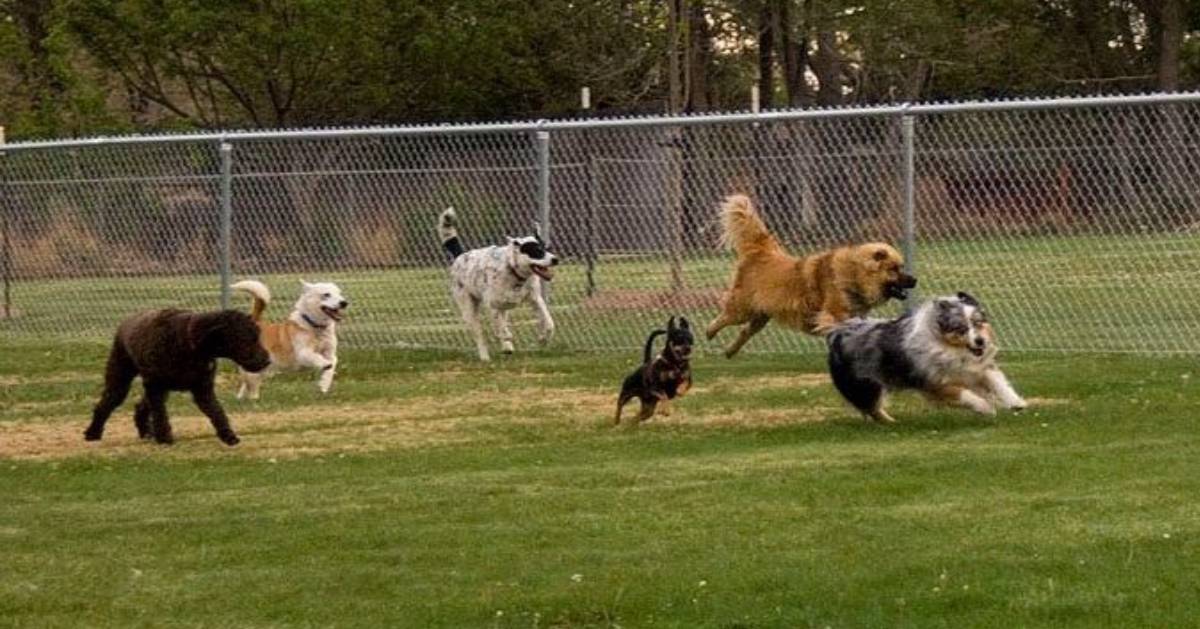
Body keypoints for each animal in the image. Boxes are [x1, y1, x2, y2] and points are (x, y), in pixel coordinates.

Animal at [84, 309, 270, 446]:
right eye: (246, 339)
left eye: (257, 336)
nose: (267, 360)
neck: (190, 342)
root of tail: (126, 322)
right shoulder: (156, 386)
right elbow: (160, 414)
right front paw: (164, 438)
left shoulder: (202, 389)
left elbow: (217, 412)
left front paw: (228, 436)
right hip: (121, 378)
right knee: (106, 403)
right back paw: (93, 433)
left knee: (141, 406)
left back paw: (145, 431)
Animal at [436, 207, 556, 360]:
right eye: (537, 251)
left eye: (547, 248)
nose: (555, 259)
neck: (513, 272)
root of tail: (460, 256)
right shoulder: (492, 305)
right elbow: (500, 329)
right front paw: (506, 337)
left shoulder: (535, 299)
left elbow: (549, 323)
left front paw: (543, 339)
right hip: (469, 311)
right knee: (480, 335)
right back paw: (485, 356)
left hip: (503, 308)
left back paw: (507, 347)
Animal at [705, 194, 912, 355]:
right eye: (895, 269)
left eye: (901, 267)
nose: (915, 280)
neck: (854, 274)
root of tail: (764, 251)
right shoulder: (833, 315)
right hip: (742, 309)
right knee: (723, 318)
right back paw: (709, 332)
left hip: (760, 315)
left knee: (744, 331)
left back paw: (730, 351)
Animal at [825, 294, 1032, 422]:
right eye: (961, 328)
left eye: (978, 323)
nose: (980, 341)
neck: (949, 347)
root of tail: (837, 332)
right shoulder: (934, 383)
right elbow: (964, 394)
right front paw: (985, 407)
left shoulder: (978, 368)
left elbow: (998, 382)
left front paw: (1016, 402)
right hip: (866, 385)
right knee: (871, 408)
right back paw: (891, 422)